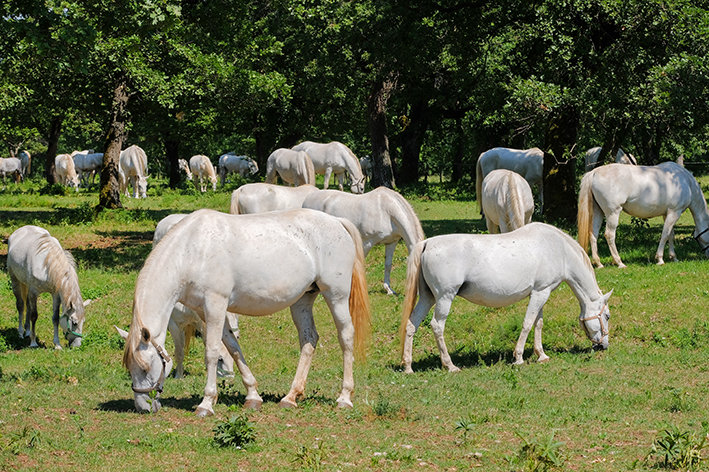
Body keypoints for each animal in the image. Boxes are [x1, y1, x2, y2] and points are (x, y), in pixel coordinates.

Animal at [120, 208, 370, 414]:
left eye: (145, 367)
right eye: (129, 368)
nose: (142, 407)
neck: (192, 251)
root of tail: (337, 221)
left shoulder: (215, 305)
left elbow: (212, 352)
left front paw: (206, 403)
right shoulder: (206, 311)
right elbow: (232, 347)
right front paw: (253, 396)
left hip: (336, 296)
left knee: (346, 336)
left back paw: (344, 398)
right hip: (303, 300)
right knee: (309, 339)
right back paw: (291, 397)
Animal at [398, 223, 608, 374]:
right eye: (607, 316)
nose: (604, 345)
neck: (558, 249)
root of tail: (427, 243)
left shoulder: (541, 292)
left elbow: (538, 324)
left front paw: (541, 355)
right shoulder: (540, 293)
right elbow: (527, 323)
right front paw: (519, 358)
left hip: (428, 298)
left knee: (412, 324)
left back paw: (408, 367)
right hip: (444, 297)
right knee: (437, 325)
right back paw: (450, 365)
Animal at [580, 162, 709, 268]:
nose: (707, 257)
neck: (686, 182)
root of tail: (594, 172)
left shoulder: (667, 214)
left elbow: (670, 235)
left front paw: (674, 258)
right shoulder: (674, 212)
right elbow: (665, 234)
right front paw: (660, 259)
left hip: (599, 212)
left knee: (593, 234)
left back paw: (599, 263)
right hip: (613, 213)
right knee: (609, 235)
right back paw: (619, 263)